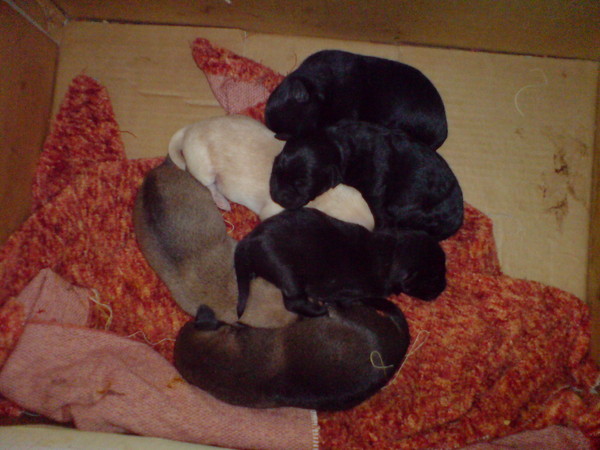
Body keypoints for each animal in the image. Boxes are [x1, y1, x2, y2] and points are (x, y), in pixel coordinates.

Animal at [168, 114, 374, 230]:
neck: (326, 198)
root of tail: (190, 128)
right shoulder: (272, 212)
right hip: (203, 165)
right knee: (209, 185)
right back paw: (222, 201)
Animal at [235, 208, 446, 318]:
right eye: (434, 277)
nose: (443, 288)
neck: (392, 253)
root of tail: (251, 239)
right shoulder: (352, 293)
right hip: (289, 273)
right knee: (292, 302)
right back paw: (318, 309)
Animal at [269, 120, 464, 241]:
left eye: (303, 184)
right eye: (276, 169)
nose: (278, 196)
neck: (338, 145)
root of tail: (456, 221)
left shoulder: (376, 191)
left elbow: (380, 215)